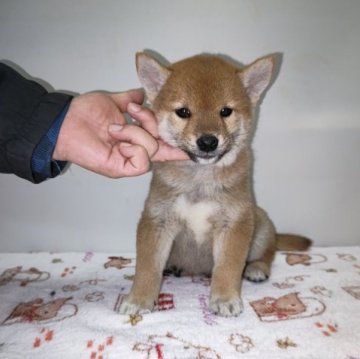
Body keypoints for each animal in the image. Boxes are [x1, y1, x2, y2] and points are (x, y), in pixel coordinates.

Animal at [119, 51, 310, 318]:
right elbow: (147, 266)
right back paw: (173, 267)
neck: (200, 179)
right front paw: (139, 298)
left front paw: (225, 298)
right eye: (184, 111)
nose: (208, 141)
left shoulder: (235, 222)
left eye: (225, 111)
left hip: (259, 224)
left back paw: (256, 268)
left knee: (269, 251)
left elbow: (227, 267)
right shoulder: (156, 220)